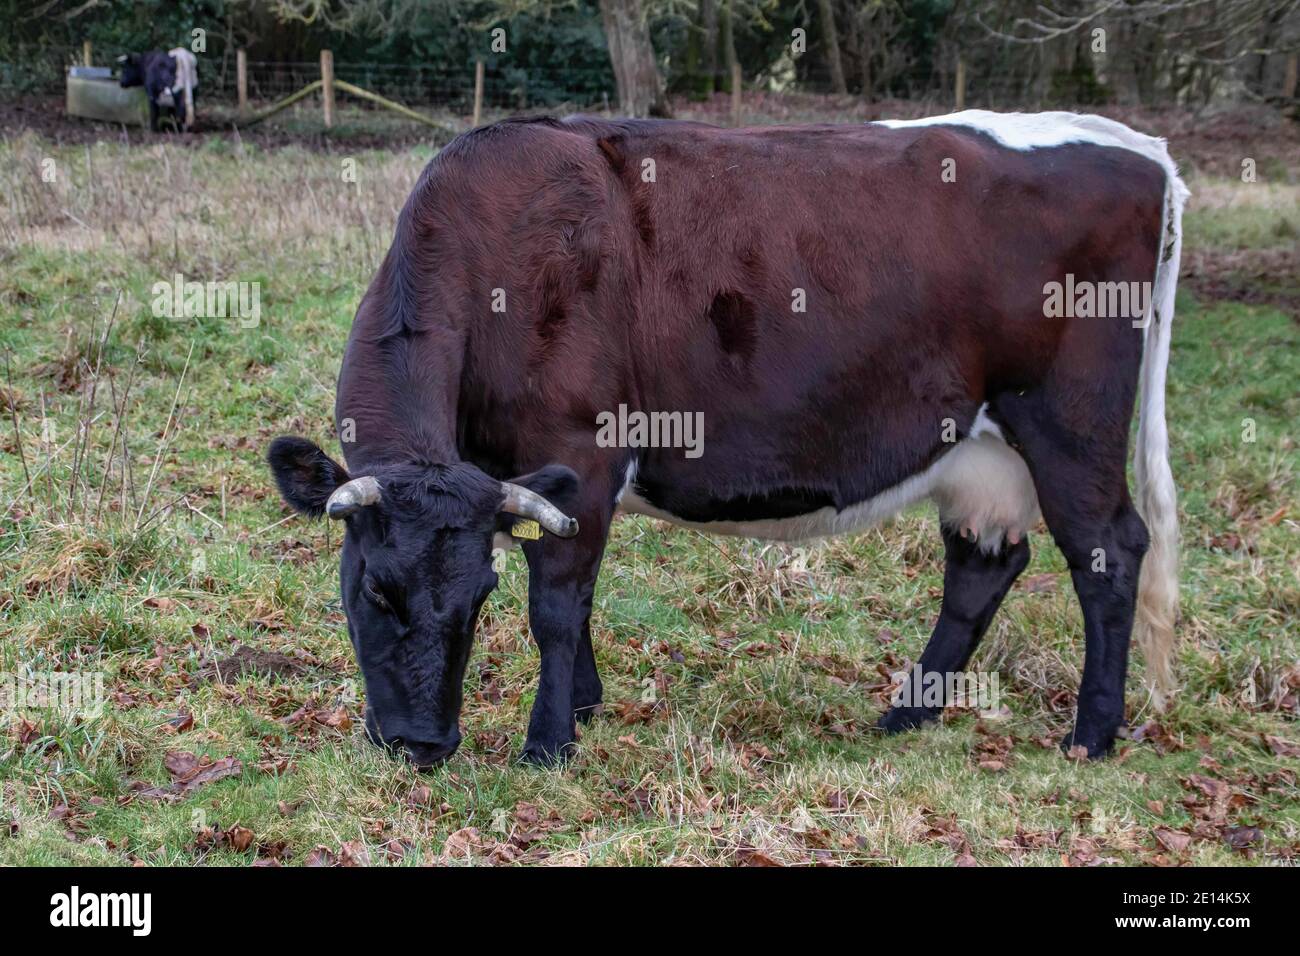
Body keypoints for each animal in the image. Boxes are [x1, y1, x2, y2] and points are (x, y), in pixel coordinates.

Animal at [266, 110, 1190, 770]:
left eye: (476, 597)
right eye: (373, 589)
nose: (422, 745)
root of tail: (1136, 147)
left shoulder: (582, 445)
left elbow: (556, 603)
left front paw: (548, 744)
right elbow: (570, 590)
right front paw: (586, 707)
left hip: (1068, 421)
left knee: (1111, 550)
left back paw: (1091, 734)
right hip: (983, 450)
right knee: (983, 566)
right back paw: (906, 712)